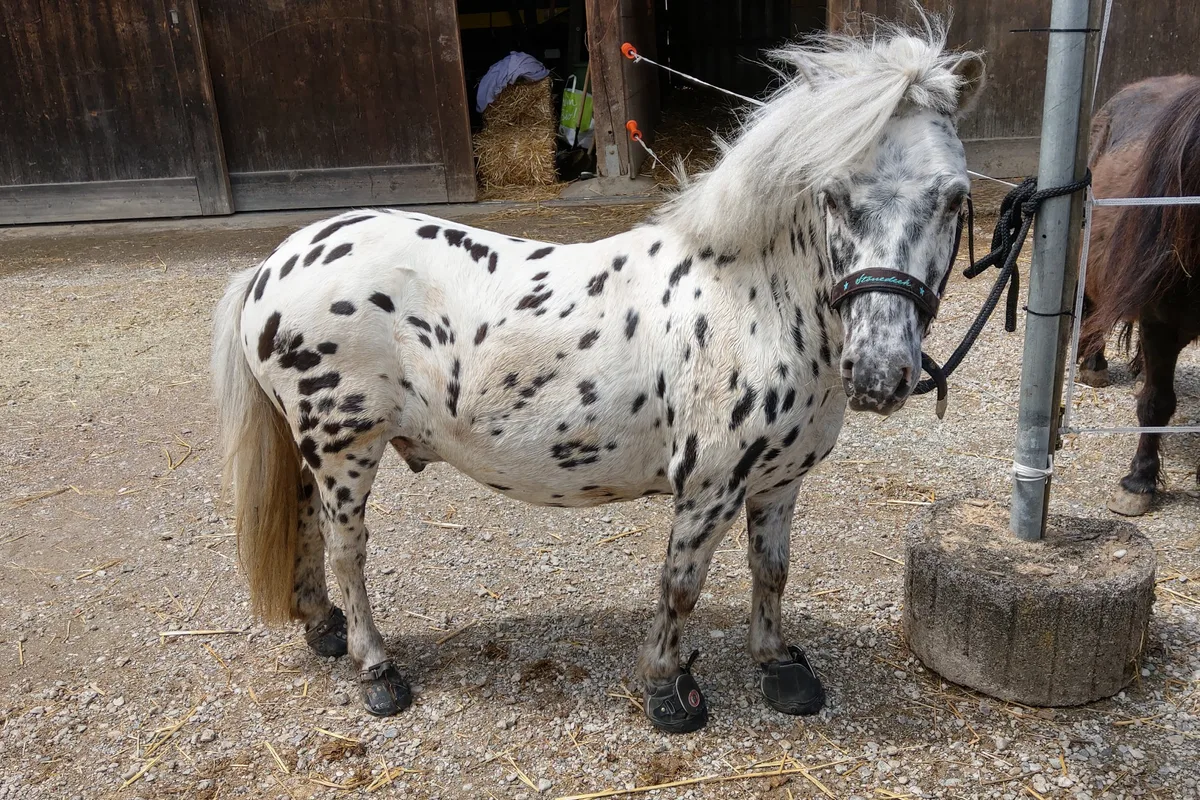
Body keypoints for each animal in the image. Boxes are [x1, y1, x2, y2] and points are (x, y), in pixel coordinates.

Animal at [211, 22, 985, 733]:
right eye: (833, 195)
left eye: (953, 198)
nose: (880, 374)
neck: (752, 301)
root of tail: (273, 264)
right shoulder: (709, 488)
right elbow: (680, 586)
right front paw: (668, 689)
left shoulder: (778, 482)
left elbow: (771, 572)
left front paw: (778, 667)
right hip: (347, 450)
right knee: (348, 552)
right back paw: (377, 670)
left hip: (319, 452)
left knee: (308, 528)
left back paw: (324, 628)